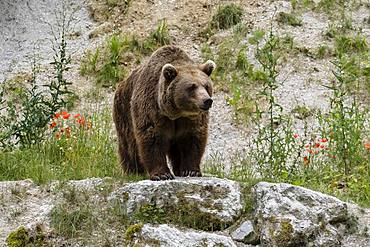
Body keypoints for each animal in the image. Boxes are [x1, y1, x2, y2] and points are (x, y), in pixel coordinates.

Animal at [114, 46, 215, 180]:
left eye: (206, 86)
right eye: (191, 87)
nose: (207, 100)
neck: (176, 113)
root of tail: (120, 84)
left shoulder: (190, 119)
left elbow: (192, 140)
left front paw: (191, 171)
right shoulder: (152, 108)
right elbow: (152, 138)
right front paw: (162, 174)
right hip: (124, 113)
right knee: (129, 146)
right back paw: (133, 171)